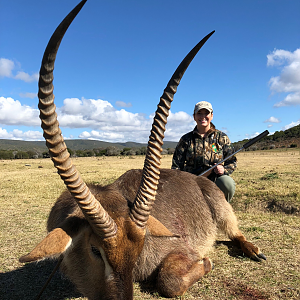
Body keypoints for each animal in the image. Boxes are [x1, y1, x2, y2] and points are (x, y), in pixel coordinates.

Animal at [19, 1, 264, 298]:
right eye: (95, 250)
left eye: (139, 248)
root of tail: (199, 180)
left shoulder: (179, 250)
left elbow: (169, 281)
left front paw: (205, 261)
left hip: (224, 212)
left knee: (235, 233)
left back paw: (254, 250)